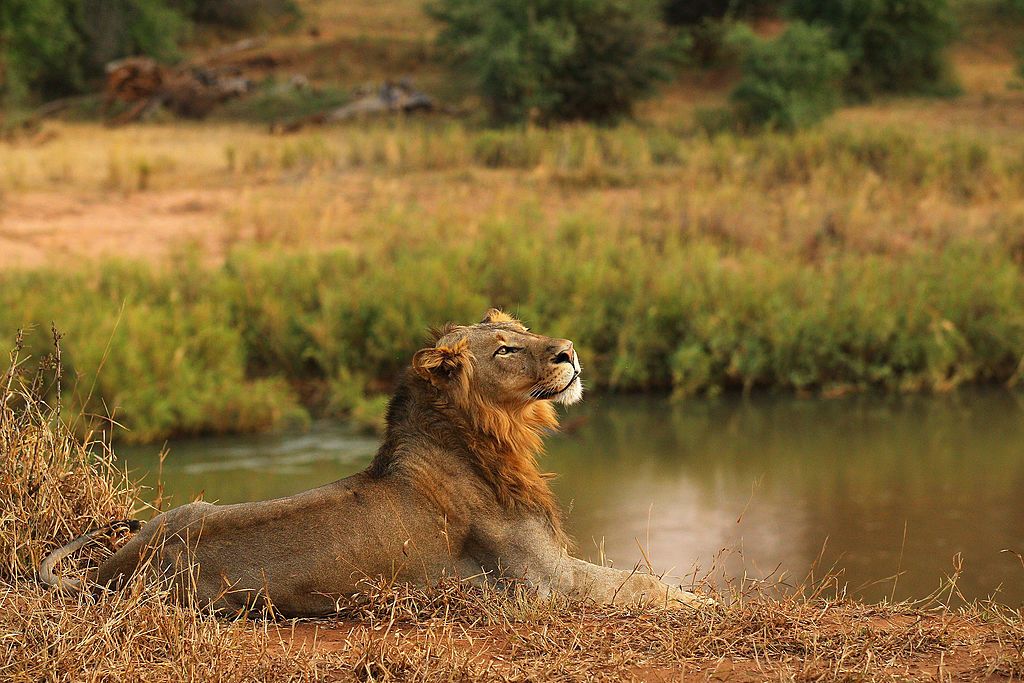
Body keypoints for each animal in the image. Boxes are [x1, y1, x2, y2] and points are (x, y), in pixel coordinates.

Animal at [41, 309, 712, 614]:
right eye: (506, 349)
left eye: (524, 329)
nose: (569, 351)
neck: (497, 440)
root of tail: (119, 567)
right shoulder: (543, 583)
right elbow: (642, 583)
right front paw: (710, 604)